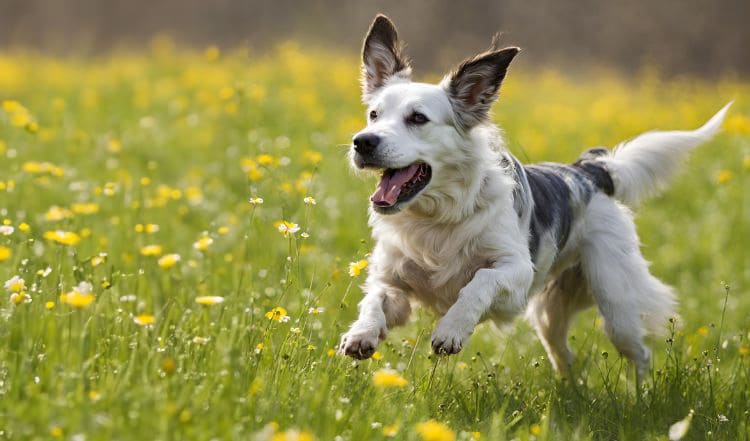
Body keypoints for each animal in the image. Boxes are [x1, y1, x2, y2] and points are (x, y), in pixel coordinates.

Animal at [340, 14, 736, 378]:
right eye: (373, 114)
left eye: (418, 118)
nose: (363, 142)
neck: (436, 219)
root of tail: (589, 170)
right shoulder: (393, 283)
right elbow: (374, 298)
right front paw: (360, 334)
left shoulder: (516, 275)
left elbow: (479, 282)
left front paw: (451, 329)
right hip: (550, 314)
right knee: (566, 358)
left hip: (615, 302)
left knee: (639, 354)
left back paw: (642, 398)